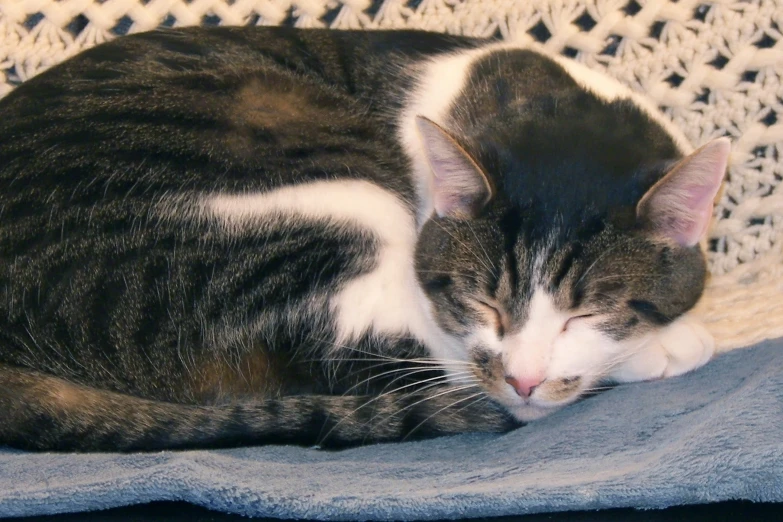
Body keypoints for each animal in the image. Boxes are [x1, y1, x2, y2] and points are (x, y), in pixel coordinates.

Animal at [0, 26, 728, 448]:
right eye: (485, 303)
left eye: (587, 312)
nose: (523, 380)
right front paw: (664, 345)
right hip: (308, 214)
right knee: (372, 351)